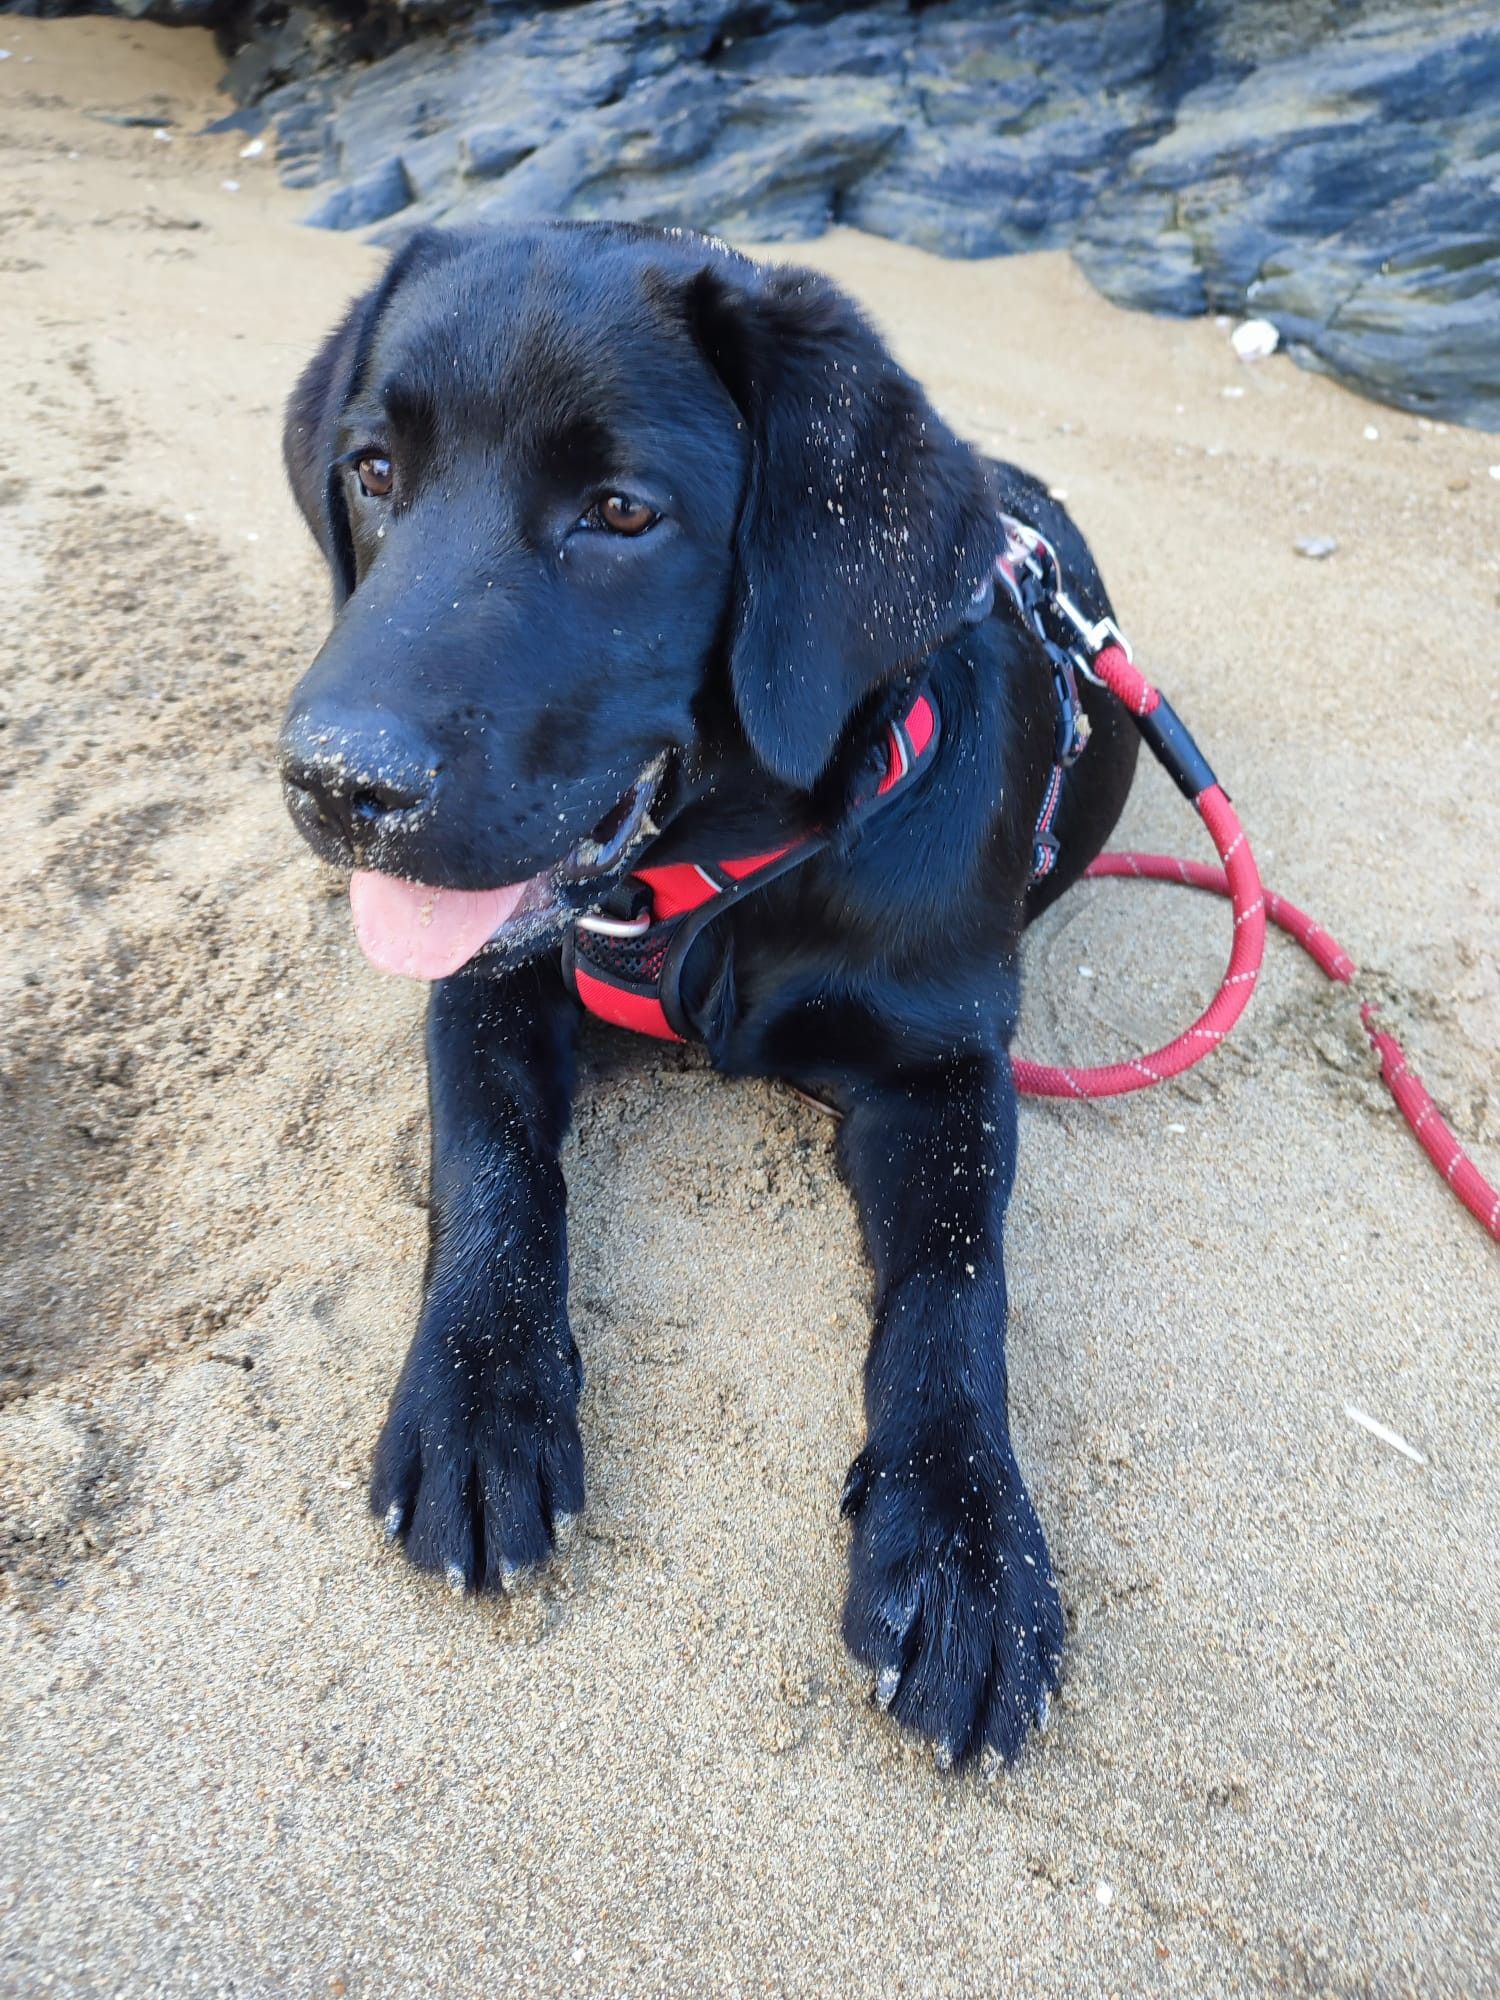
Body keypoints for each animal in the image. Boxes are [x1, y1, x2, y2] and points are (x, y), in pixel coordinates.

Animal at [280, 219, 1136, 1768]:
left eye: (622, 512)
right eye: (373, 470)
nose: (334, 785)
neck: (714, 888)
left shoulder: (945, 1068)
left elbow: (954, 1288)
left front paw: (965, 1545)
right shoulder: (487, 986)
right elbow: (495, 1170)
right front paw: (480, 1394)